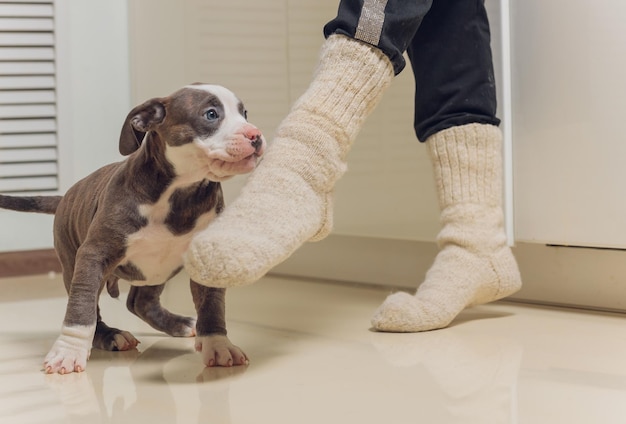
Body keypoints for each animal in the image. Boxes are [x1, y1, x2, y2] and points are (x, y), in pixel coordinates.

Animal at [0, 83, 264, 374]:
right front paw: (68, 351)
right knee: (94, 305)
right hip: (74, 262)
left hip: (156, 269)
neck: (180, 191)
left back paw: (179, 324)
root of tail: (66, 196)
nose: (255, 135)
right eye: (211, 114)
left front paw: (217, 345)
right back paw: (109, 335)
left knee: (140, 302)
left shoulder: (209, 256)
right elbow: (81, 308)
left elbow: (212, 304)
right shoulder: (93, 255)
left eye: (244, 113)